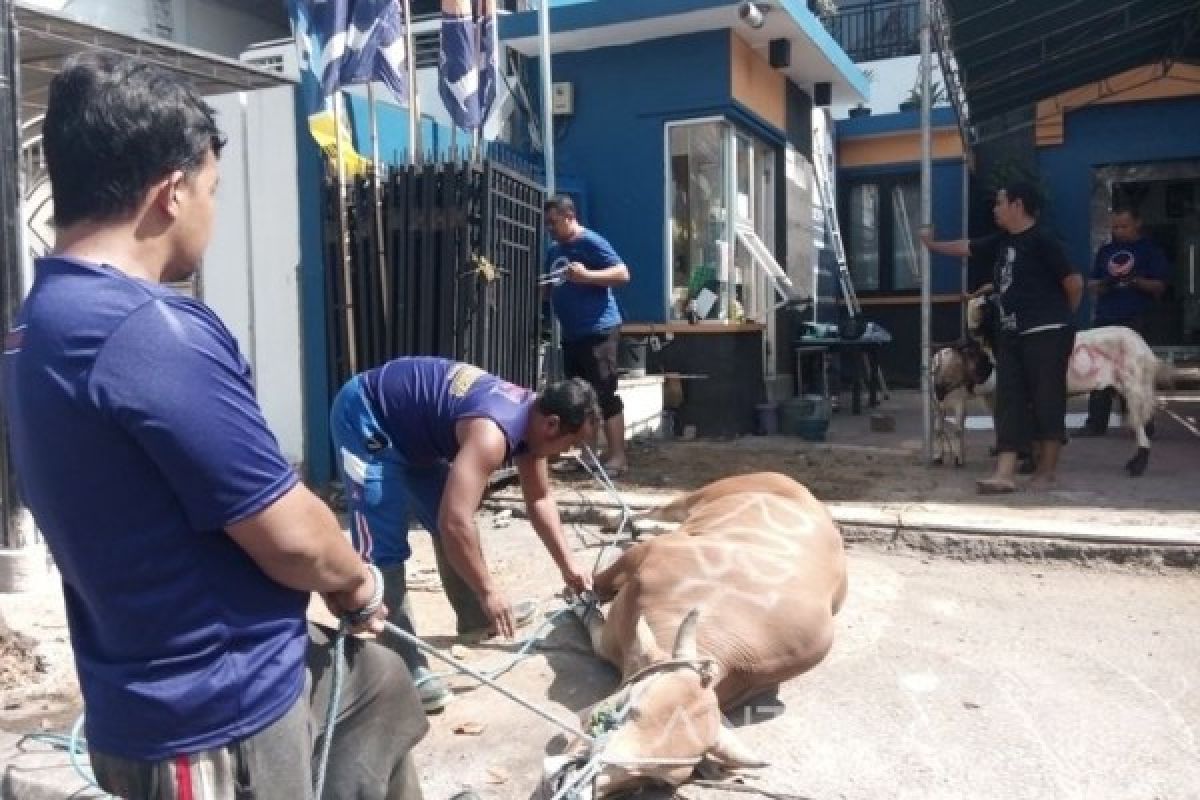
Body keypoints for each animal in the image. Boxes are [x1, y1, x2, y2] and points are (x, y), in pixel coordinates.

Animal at [549, 472, 849, 796]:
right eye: (630, 710)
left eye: (654, 778)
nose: (573, 785)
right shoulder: (648, 553)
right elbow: (595, 588)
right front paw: (577, 593)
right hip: (703, 494)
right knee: (660, 511)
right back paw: (612, 517)